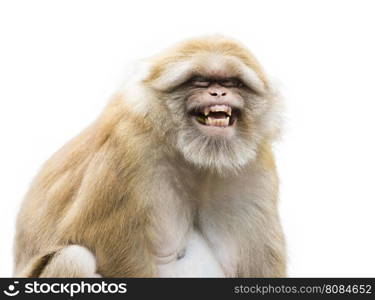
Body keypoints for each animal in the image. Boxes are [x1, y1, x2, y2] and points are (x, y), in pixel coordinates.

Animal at [13, 34, 286, 276]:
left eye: (232, 83)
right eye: (199, 81)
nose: (218, 93)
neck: (192, 154)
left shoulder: (254, 163)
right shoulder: (129, 146)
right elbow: (103, 240)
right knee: (74, 257)